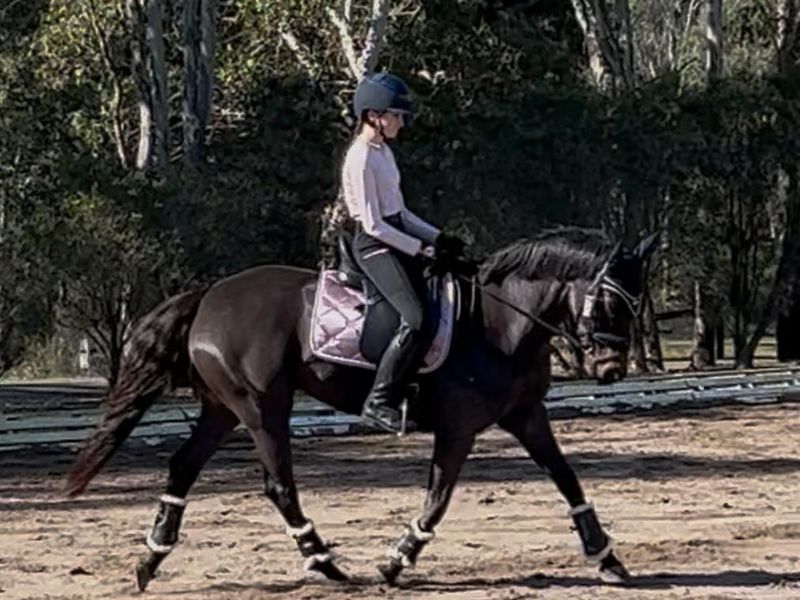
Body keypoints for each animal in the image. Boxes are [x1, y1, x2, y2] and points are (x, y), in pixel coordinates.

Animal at [64, 233, 658, 591]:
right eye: (609, 301)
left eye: (635, 303)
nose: (611, 369)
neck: (498, 324)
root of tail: (210, 294)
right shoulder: (459, 426)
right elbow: (438, 500)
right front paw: (396, 561)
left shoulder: (527, 416)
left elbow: (567, 478)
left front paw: (607, 558)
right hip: (262, 407)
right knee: (279, 485)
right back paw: (325, 563)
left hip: (222, 409)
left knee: (183, 467)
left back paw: (149, 560)